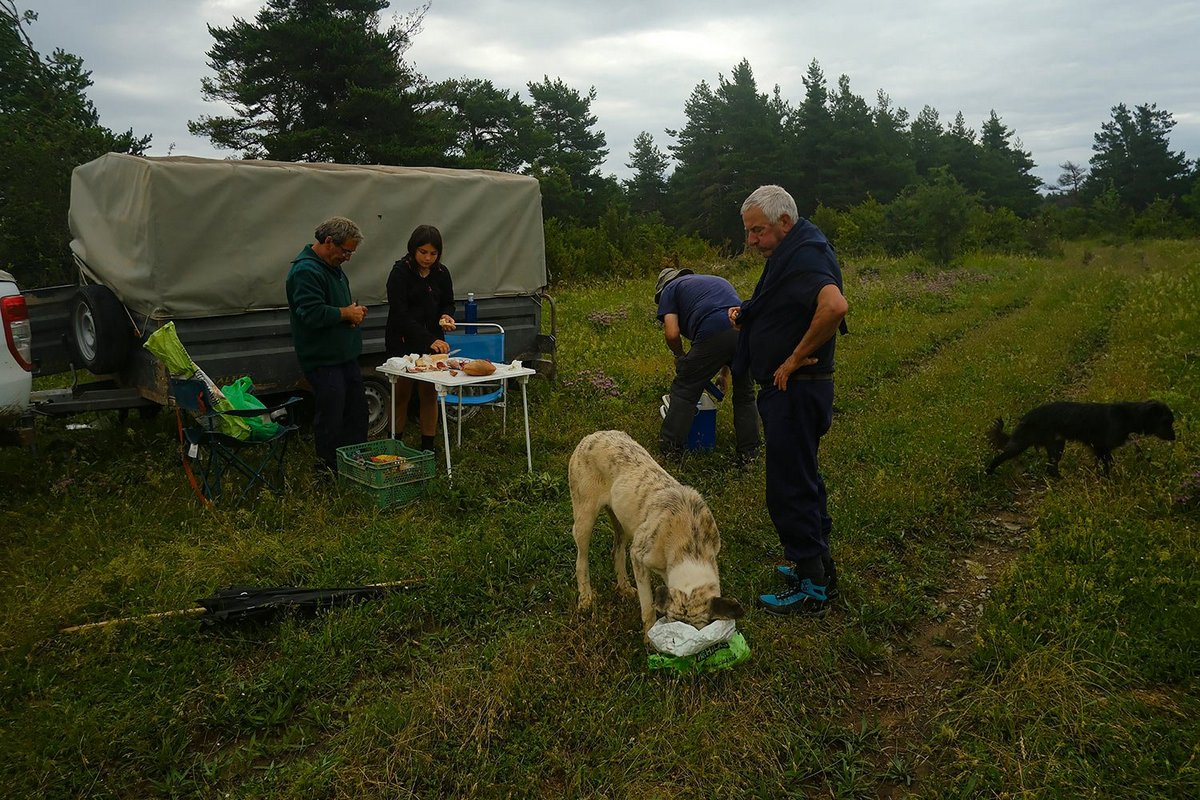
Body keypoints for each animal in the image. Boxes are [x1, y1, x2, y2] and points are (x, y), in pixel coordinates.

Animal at [568, 429, 744, 642]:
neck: (691, 544)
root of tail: (593, 435)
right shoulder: (638, 555)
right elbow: (647, 607)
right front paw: (648, 640)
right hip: (584, 517)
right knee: (581, 561)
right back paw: (586, 599)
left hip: (622, 522)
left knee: (616, 551)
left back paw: (624, 587)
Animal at [988, 400, 1176, 474]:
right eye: (1167, 422)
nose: (1174, 437)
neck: (1128, 417)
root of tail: (1027, 416)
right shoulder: (1100, 446)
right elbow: (1107, 465)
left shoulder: (1101, 449)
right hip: (1022, 442)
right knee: (999, 456)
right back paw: (988, 471)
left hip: (1057, 445)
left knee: (1051, 469)